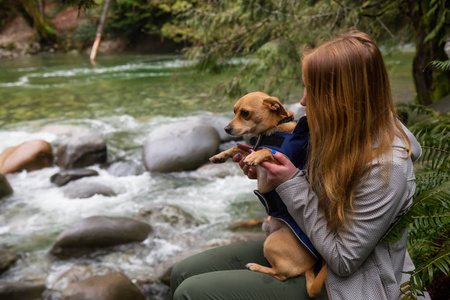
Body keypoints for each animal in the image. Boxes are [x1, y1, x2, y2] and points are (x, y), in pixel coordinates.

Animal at [209, 91, 326, 298]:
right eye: (234, 111)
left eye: (245, 113)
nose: (226, 128)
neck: (274, 128)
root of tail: (310, 267)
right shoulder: (250, 154)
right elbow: (239, 148)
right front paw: (221, 155)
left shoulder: (282, 163)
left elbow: (266, 151)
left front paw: (256, 155)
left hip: (271, 242)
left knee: (281, 275)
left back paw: (256, 267)